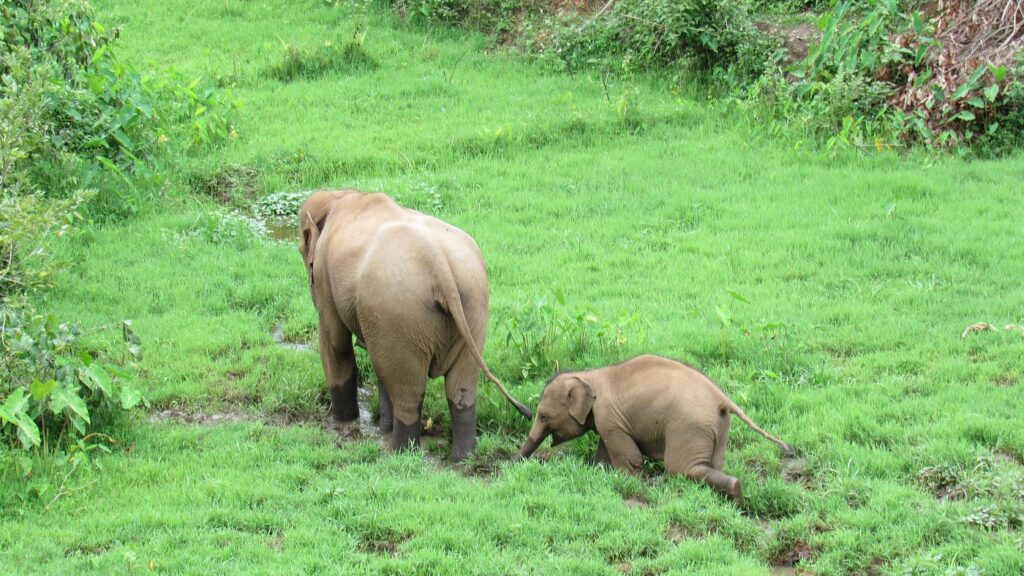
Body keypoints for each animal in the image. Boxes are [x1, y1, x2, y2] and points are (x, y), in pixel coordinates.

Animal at [298, 189, 530, 460]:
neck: (340, 195)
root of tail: (440, 267)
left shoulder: (324, 276)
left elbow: (335, 344)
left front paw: (343, 424)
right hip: (472, 307)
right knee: (458, 384)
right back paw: (463, 457)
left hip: (399, 312)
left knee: (408, 390)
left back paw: (399, 453)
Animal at [517, 354, 793, 500]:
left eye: (543, 416)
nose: (514, 465)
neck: (588, 375)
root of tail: (722, 399)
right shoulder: (608, 423)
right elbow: (604, 455)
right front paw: (599, 473)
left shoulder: (609, 418)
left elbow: (629, 457)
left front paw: (631, 483)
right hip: (718, 428)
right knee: (712, 465)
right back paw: (734, 493)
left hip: (689, 427)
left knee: (681, 467)